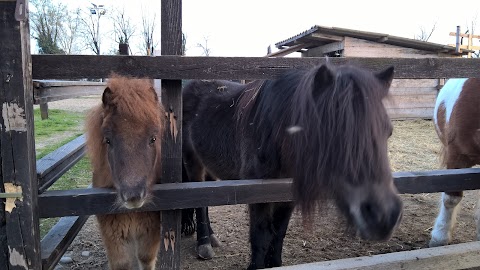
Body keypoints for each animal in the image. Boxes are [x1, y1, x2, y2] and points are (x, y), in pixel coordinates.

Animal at [83, 75, 164, 270]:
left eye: (153, 138)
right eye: (108, 140)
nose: (133, 196)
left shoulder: (150, 231)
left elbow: (146, 258)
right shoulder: (113, 234)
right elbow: (123, 263)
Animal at [182, 63, 404, 268]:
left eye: (389, 132)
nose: (384, 216)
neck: (274, 135)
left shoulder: (287, 194)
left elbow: (279, 233)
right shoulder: (257, 195)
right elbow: (260, 236)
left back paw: (211, 237)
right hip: (193, 163)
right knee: (199, 202)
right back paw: (204, 244)